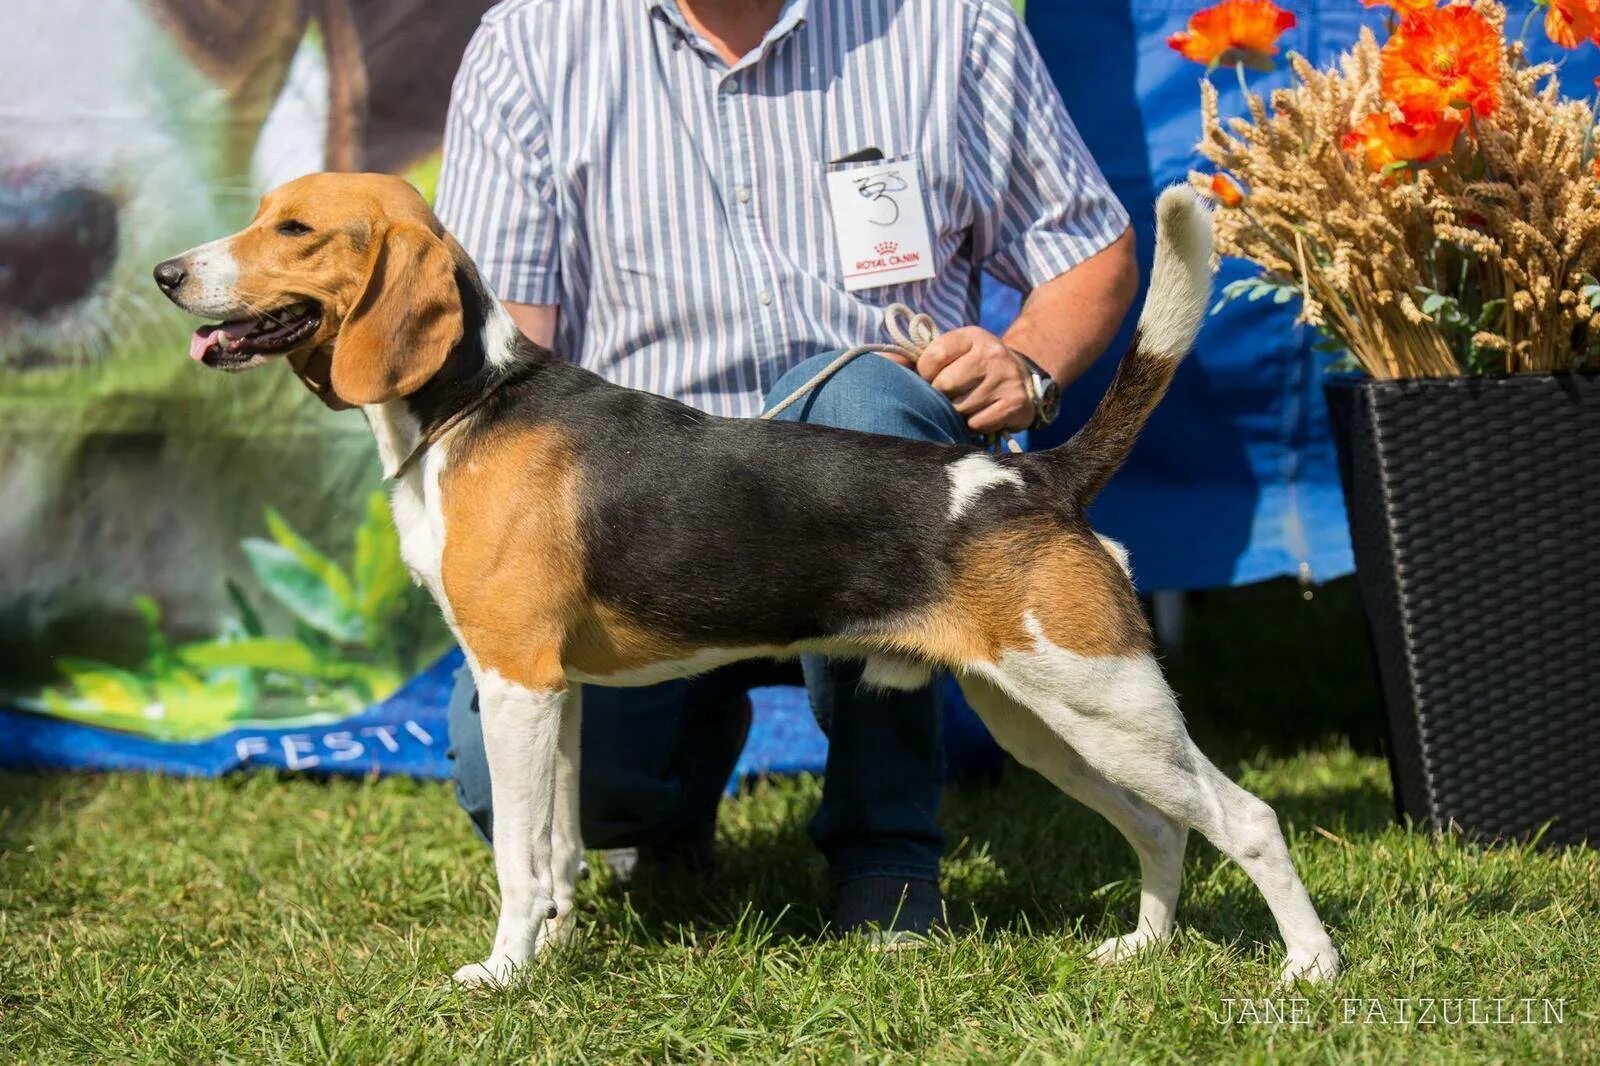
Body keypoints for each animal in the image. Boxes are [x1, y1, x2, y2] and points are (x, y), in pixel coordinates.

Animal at [156, 170, 1344, 985]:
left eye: (294, 230)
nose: (168, 274)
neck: (468, 403)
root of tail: (1034, 474)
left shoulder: (516, 681)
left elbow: (520, 861)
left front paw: (501, 974)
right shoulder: (558, 692)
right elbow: (561, 848)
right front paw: (555, 956)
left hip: (1107, 703)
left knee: (1246, 819)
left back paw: (1308, 970)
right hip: (1044, 718)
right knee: (1161, 826)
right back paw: (1141, 950)